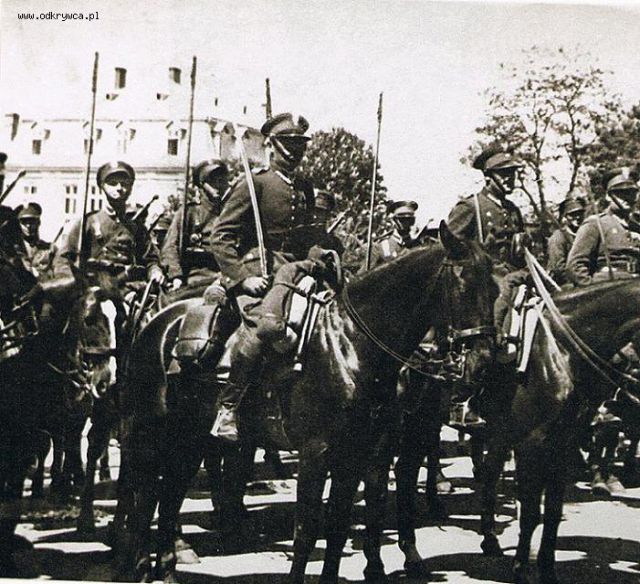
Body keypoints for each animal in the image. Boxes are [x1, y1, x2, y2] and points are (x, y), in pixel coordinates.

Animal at [117, 221, 499, 584]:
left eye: (495, 290)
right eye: (463, 285)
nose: (483, 362)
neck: (350, 345)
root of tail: (157, 323)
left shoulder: (358, 452)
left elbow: (339, 525)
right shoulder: (316, 452)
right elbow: (307, 529)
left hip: (190, 439)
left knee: (169, 498)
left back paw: (167, 570)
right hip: (152, 435)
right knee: (145, 496)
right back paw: (140, 565)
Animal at [475, 278, 640, 584]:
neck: (559, 352)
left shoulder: (561, 443)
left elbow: (552, 512)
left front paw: (547, 569)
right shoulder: (529, 445)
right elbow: (530, 513)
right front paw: (520, 569)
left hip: (501, 432)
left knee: (490, 473)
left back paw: (489, 539)